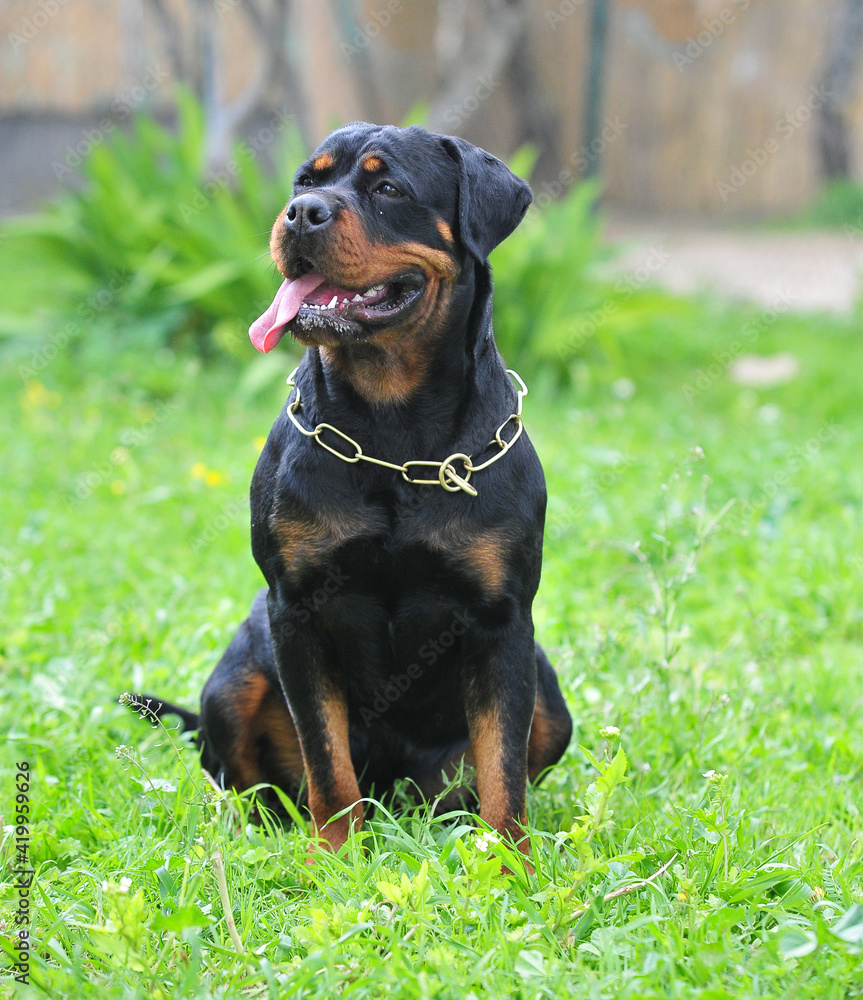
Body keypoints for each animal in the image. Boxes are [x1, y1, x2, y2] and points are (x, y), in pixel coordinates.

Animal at [137, 123, 572, 860]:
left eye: (387, 187)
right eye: (304, 183)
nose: (300, 215)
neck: (394, 438)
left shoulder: (502, 621)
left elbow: (503, 764)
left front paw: (509, 864)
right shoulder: (297, 610)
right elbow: (326, 757)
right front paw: (335, 855)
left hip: (549, 699)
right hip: (235, 679)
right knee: (246, 776)